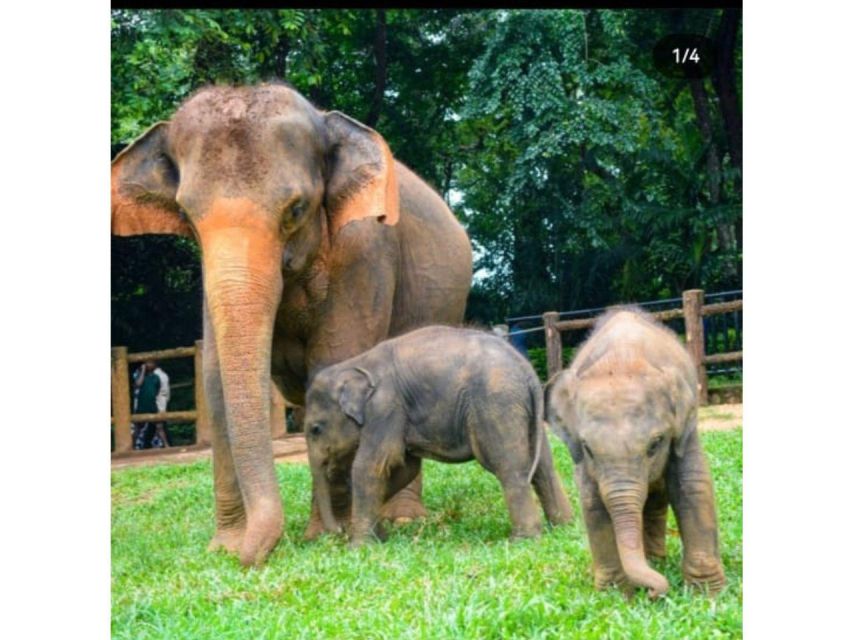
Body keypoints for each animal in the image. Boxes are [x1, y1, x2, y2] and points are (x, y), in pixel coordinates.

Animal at [110, 84, 472, 564]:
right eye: (187, 217)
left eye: (296, 209)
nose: (251, 557)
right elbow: (215, 379)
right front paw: (226, 548)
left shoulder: (364, 250)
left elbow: (336, 360)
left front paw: (328, 537)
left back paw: (403, 520)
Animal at [302, 324, 576, 544]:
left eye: (316, 429)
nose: (338, 532)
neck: (355, 364)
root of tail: (527, 370)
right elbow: (404, 468)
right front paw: (379, 537)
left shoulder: (385, 407)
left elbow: (373, 465)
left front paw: (360, 547)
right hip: (523, 409)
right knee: (543, 467)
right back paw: (563, 526)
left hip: (495, 403)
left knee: (510, 468)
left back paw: (523, 540)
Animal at [544, 308, 724, 596]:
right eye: (588, 449)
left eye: (655, 444)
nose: (652, 593)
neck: (622, 359)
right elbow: (592, 502)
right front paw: (615, 594)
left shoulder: (685, 430)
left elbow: (692, 485)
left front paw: (707, 595)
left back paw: (656, 562)